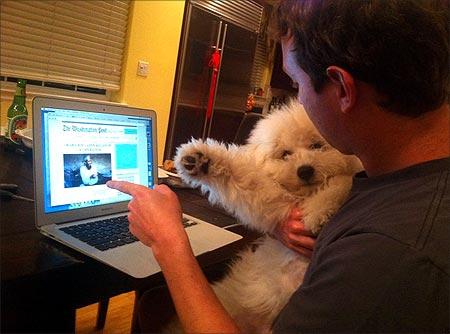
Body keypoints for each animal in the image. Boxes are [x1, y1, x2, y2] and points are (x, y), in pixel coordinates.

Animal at [172, 100, 362, 334]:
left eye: (317, 146)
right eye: (285, 154)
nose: (305, 170)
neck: (304, 196)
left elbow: (342, 181)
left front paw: (318, 212)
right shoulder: (272, 201)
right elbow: (244, 175)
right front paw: (201, 161)